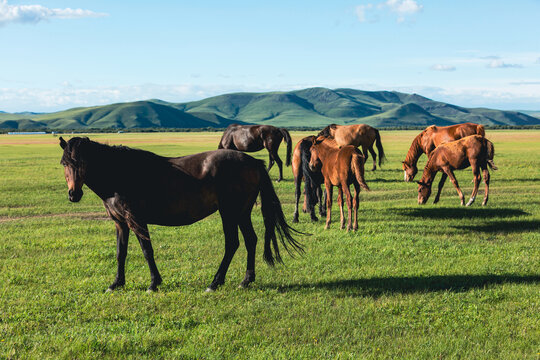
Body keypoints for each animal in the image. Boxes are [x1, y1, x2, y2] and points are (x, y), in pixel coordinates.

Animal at [60, 136, 304, 292]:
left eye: (82, 162)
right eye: (64, 163)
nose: (74, 194)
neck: (120, 174)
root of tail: (253, 162)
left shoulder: (137, 220)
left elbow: (147, 251)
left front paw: (153, 284)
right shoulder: (120, 222)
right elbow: (121, 252)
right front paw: (116, 283)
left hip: (229, 212)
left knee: (232, 243)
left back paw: (214, 283)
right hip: (241, 213)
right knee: (250, 240)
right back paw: (246, 280)